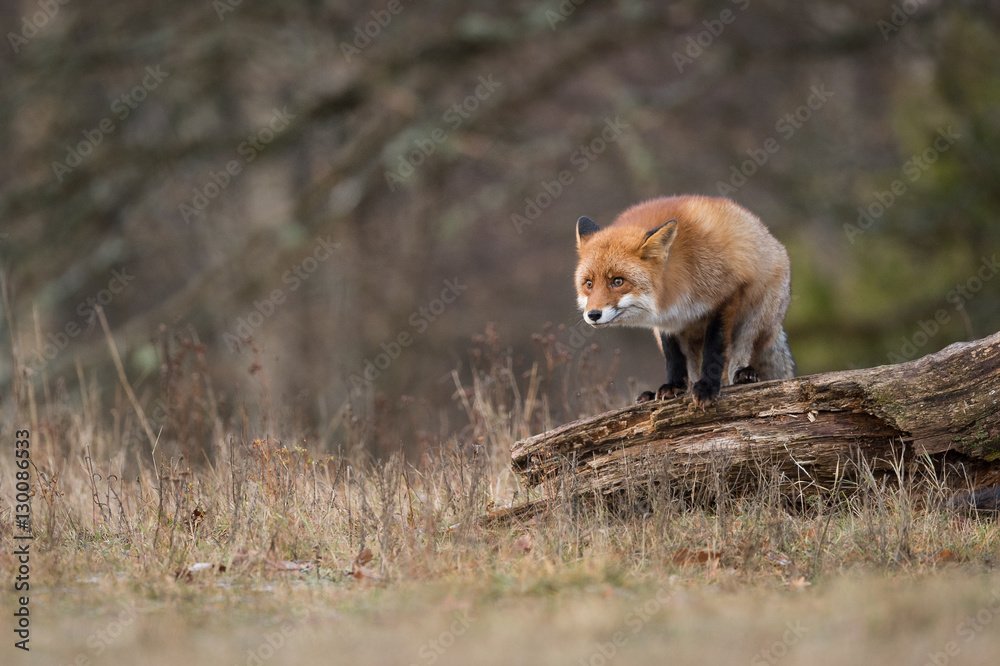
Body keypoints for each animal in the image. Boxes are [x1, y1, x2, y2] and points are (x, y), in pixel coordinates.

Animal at [574, 195, 795, 407]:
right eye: (589, 284)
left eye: (618, 281)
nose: (593, 315)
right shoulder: (666, 321)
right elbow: (674, 357)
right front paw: (673, 387)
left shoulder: (726, 297)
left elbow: (714, 352)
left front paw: (707, 387)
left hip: (754, 319)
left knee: (740, 356)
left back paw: (744, 375)